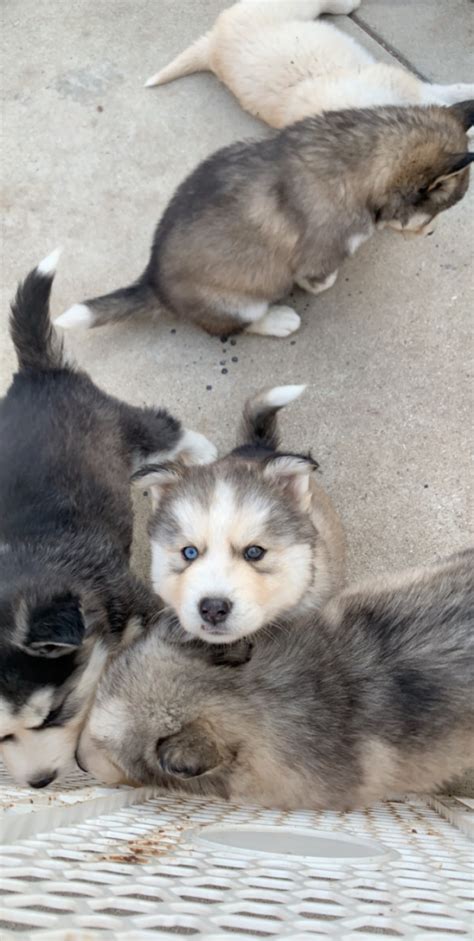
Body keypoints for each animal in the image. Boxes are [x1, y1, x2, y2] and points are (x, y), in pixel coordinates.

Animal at [0, 252, 217, 784]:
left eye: (53, 715)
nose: (40, 783)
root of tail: (34, 374)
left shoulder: (138, 602)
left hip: (120, 425)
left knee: (164, 427)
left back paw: (202, 451)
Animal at [57, 103, 474, 340]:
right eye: (437, 212)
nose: (431, 232)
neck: (359, 155)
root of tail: (152, 284)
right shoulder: (322, 252)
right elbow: (321, 277)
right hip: (237, 302)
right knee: (237, 325)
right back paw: (278, 321)